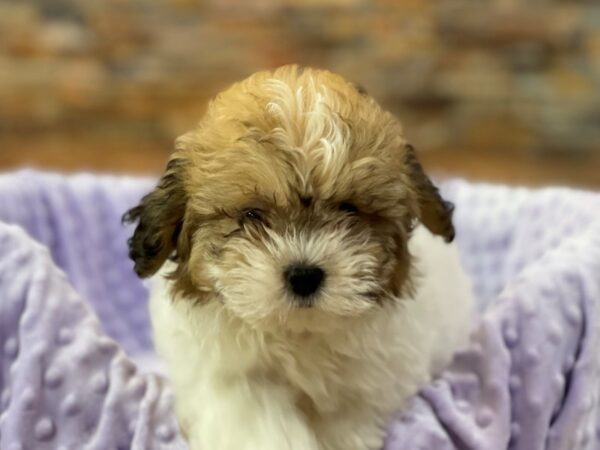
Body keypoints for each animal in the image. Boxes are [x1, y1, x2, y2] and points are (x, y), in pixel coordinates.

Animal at [125, 64, 474, 450]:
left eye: (349, 209)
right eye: (252, 215)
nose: (305, 275)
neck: (298, 334)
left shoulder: (374, 379)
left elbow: (347, 417)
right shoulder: (223, 376)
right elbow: (252, 414)